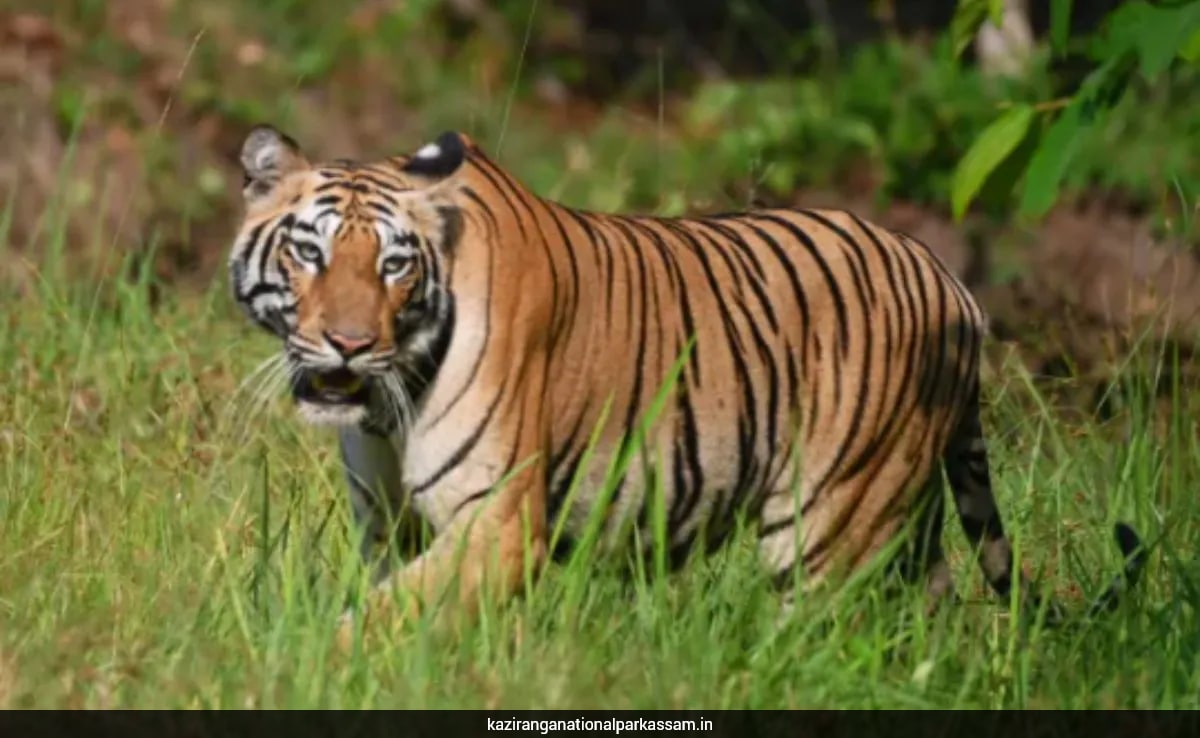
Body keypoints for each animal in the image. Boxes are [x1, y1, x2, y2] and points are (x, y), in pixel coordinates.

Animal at [227, 125, 1144, 637]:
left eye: (393, 265)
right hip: (901, 521)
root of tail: (950, 279)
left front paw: (306, 660)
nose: (348, 345)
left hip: (829, 527)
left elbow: (378, 621)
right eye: (309, 252)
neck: (392, 405)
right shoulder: (391, 526)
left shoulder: (499, 526)